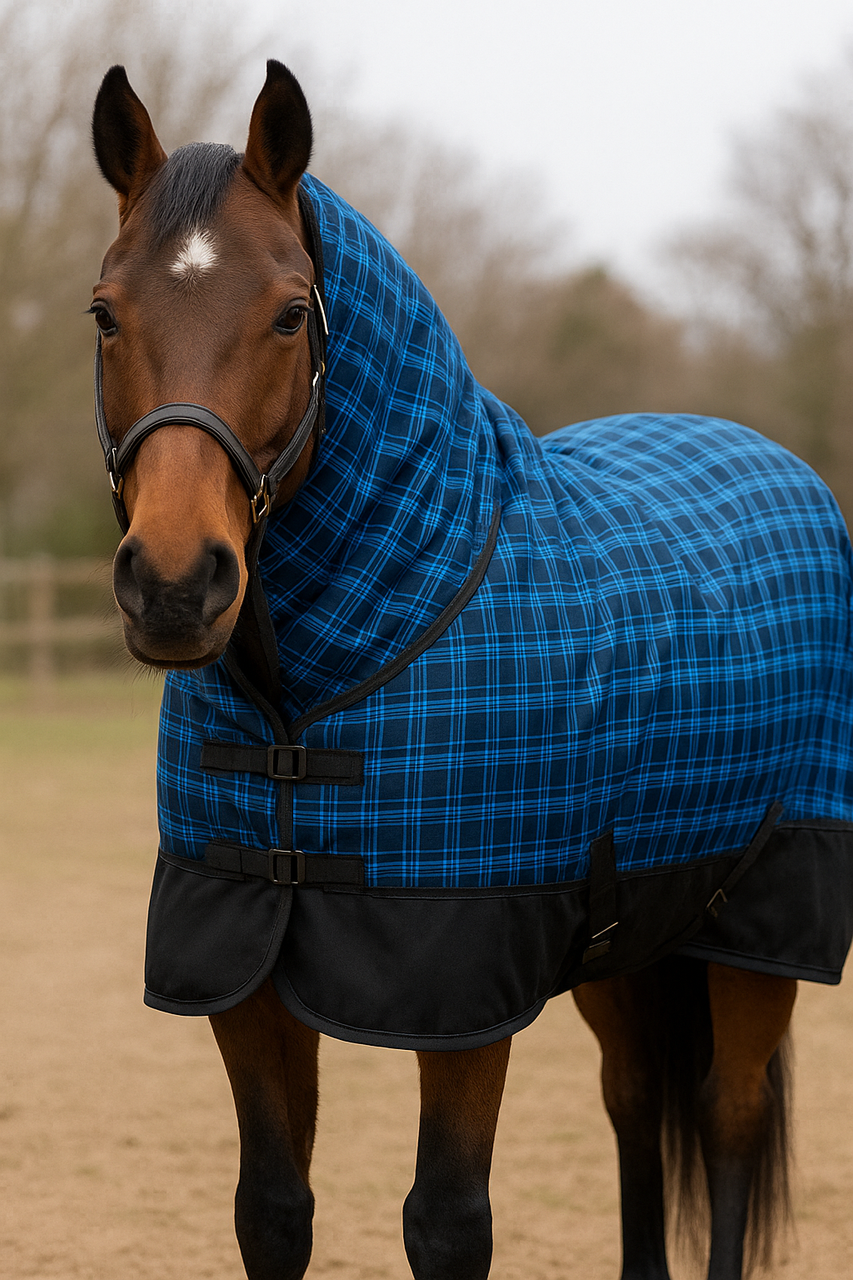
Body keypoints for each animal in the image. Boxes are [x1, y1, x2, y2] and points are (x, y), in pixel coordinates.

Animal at [89, 61, 853, 1280]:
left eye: (291, 312)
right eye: (105, 311)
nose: (172, 583)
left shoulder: (459, 993)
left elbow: (446, 1222)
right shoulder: (243, 980)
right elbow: (272, 1211)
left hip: (762, 926)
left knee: (728, 1116)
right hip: (630, 938)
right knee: (633, 1101)